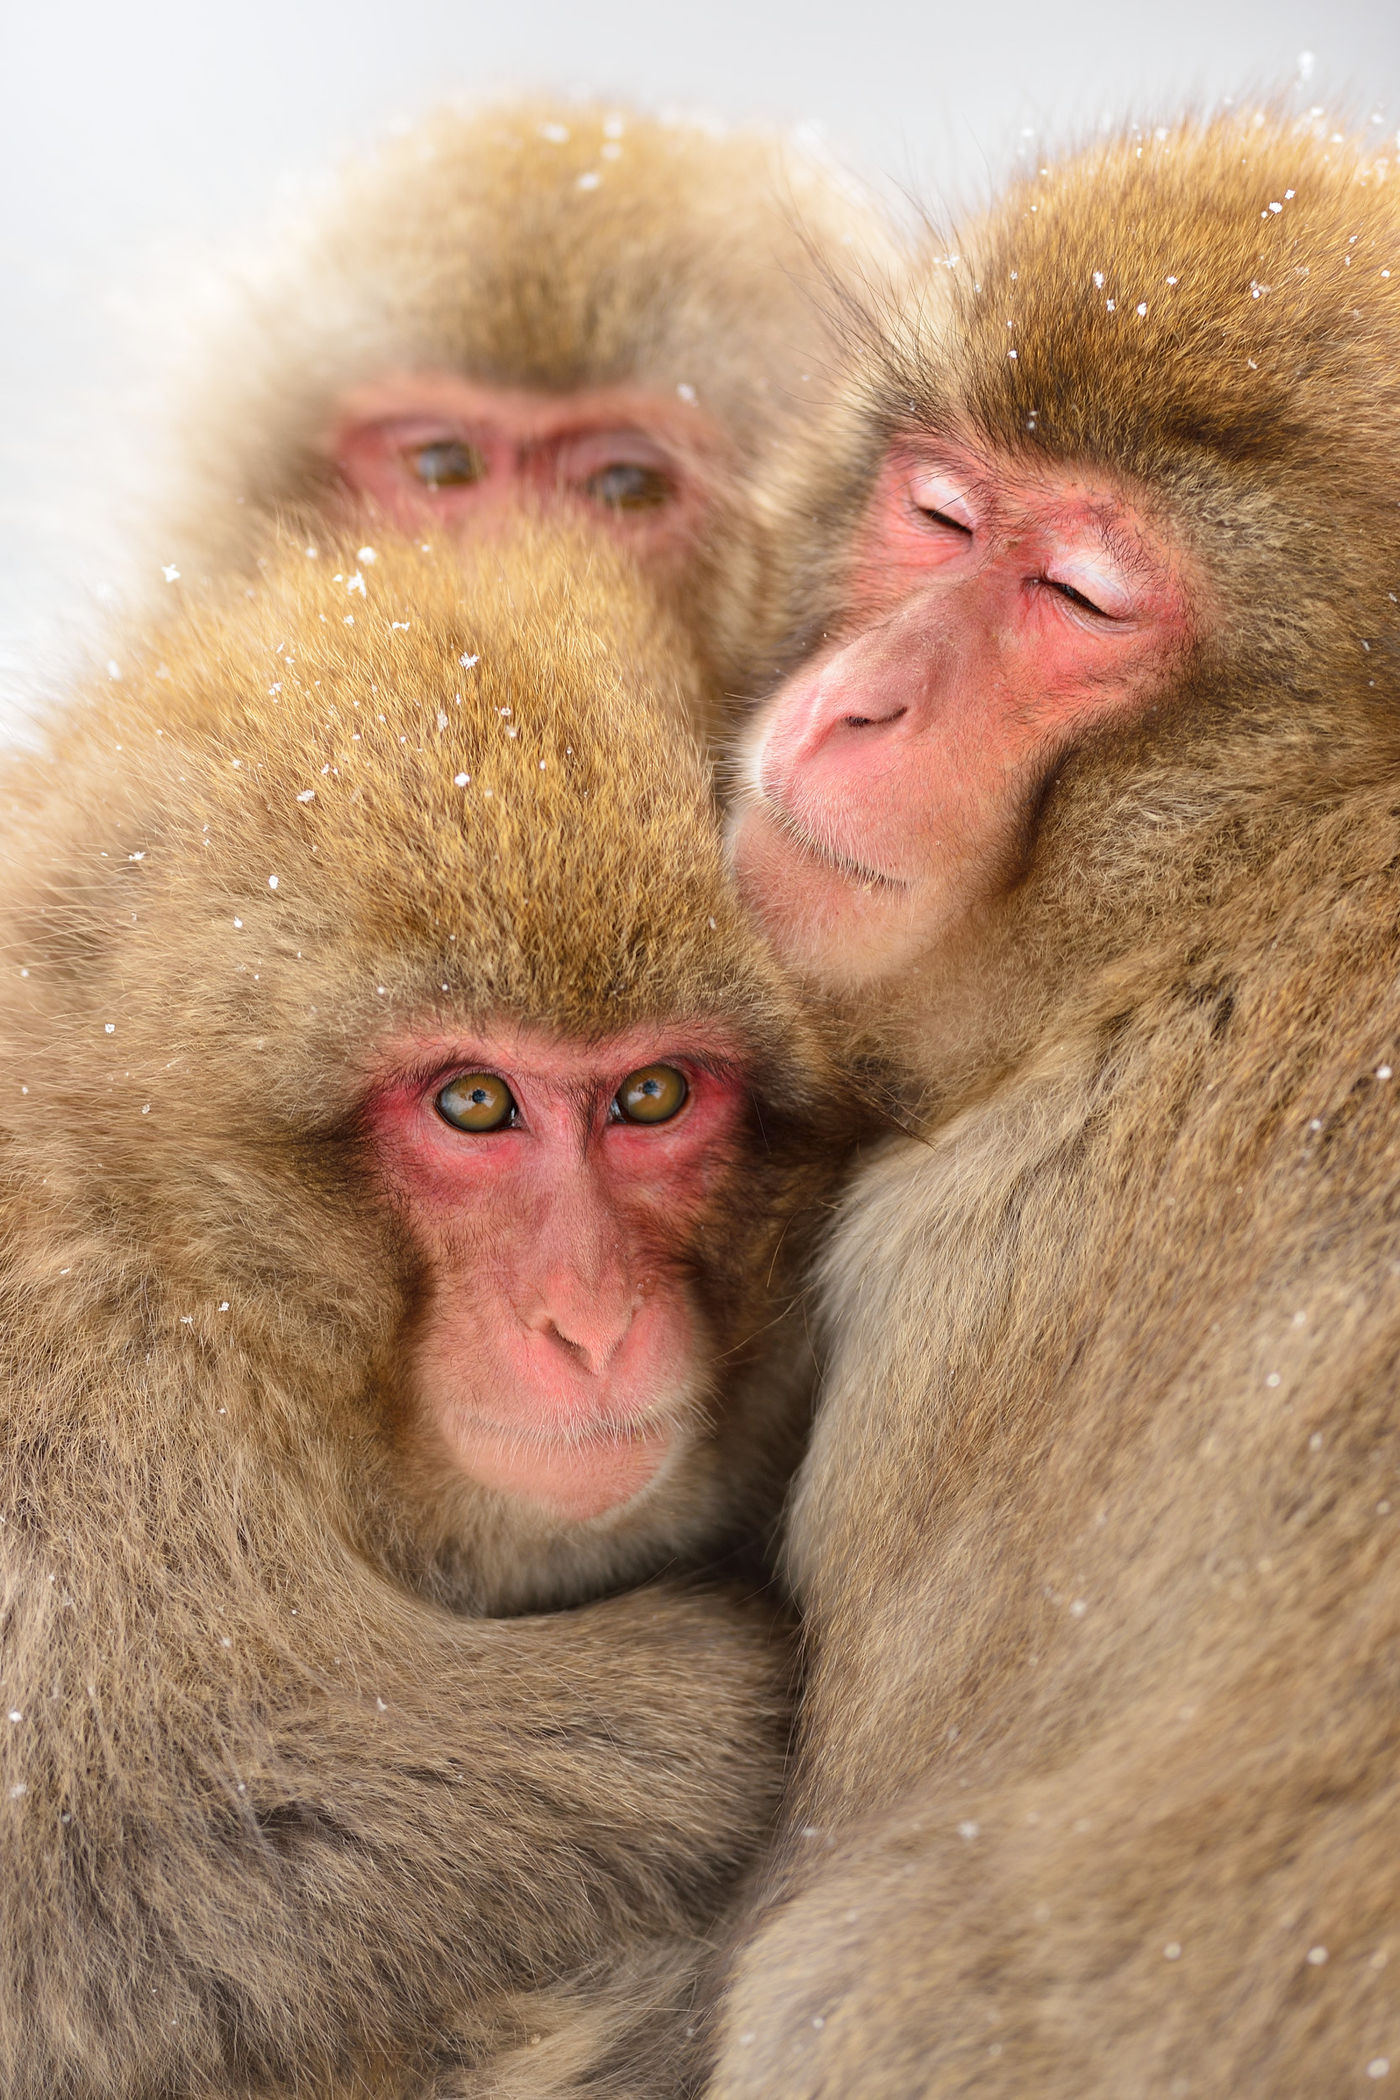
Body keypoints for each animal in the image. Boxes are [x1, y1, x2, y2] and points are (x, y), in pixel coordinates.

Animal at [0, 525, 860, 2100]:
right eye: (473, 1103)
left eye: (653, 1094)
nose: (586, 1323)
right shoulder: (83, 1392)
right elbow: (137, 1854)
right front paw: (726, 1700)